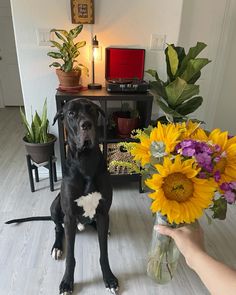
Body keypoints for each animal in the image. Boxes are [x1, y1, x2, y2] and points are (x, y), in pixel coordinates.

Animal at [6, 99, 119, 295]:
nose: (86, 125)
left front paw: (109, 278)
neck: (85, 160)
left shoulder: (103, 212)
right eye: (71, 113)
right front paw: (67, 282)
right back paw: (57, 247)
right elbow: (71, 257)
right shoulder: (70, 216)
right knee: (58, 228)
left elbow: (104, 253)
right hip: (55, 206)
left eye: (91, 109)